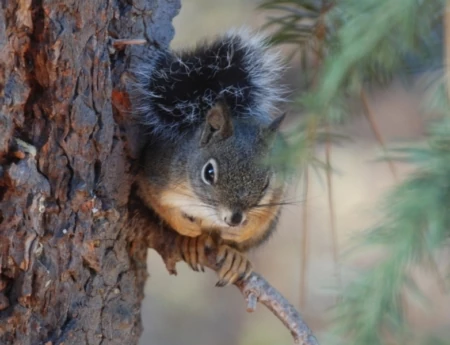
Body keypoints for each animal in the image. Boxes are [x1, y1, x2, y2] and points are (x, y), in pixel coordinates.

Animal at [132, 27, 288, 284]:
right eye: (209, 172)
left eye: (266, 182)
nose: (235, 219)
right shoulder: (156, 172)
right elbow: (158, 203)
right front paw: (186, 228)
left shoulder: (278, 191)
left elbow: (263, 216)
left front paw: (241, 232)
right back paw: (194, 243)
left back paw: (235, 257)